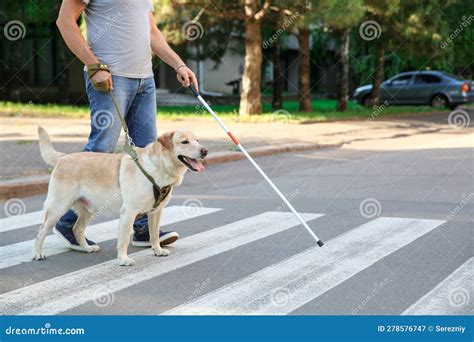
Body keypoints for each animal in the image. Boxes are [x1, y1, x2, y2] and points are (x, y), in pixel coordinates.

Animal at [34, 127, 208, 266]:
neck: (158, 167)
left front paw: (157, 250)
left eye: (197, 140)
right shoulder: (129, 212)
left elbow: (154, 234)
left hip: (88, 210)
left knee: (77, 228)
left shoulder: (156, 212)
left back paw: (86, 248)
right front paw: (123, 259)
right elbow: (123, 239)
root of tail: (63, 157)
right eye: (184, 142)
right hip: (58, 207)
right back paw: (38, 253)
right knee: (42, 230)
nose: (204, 151)